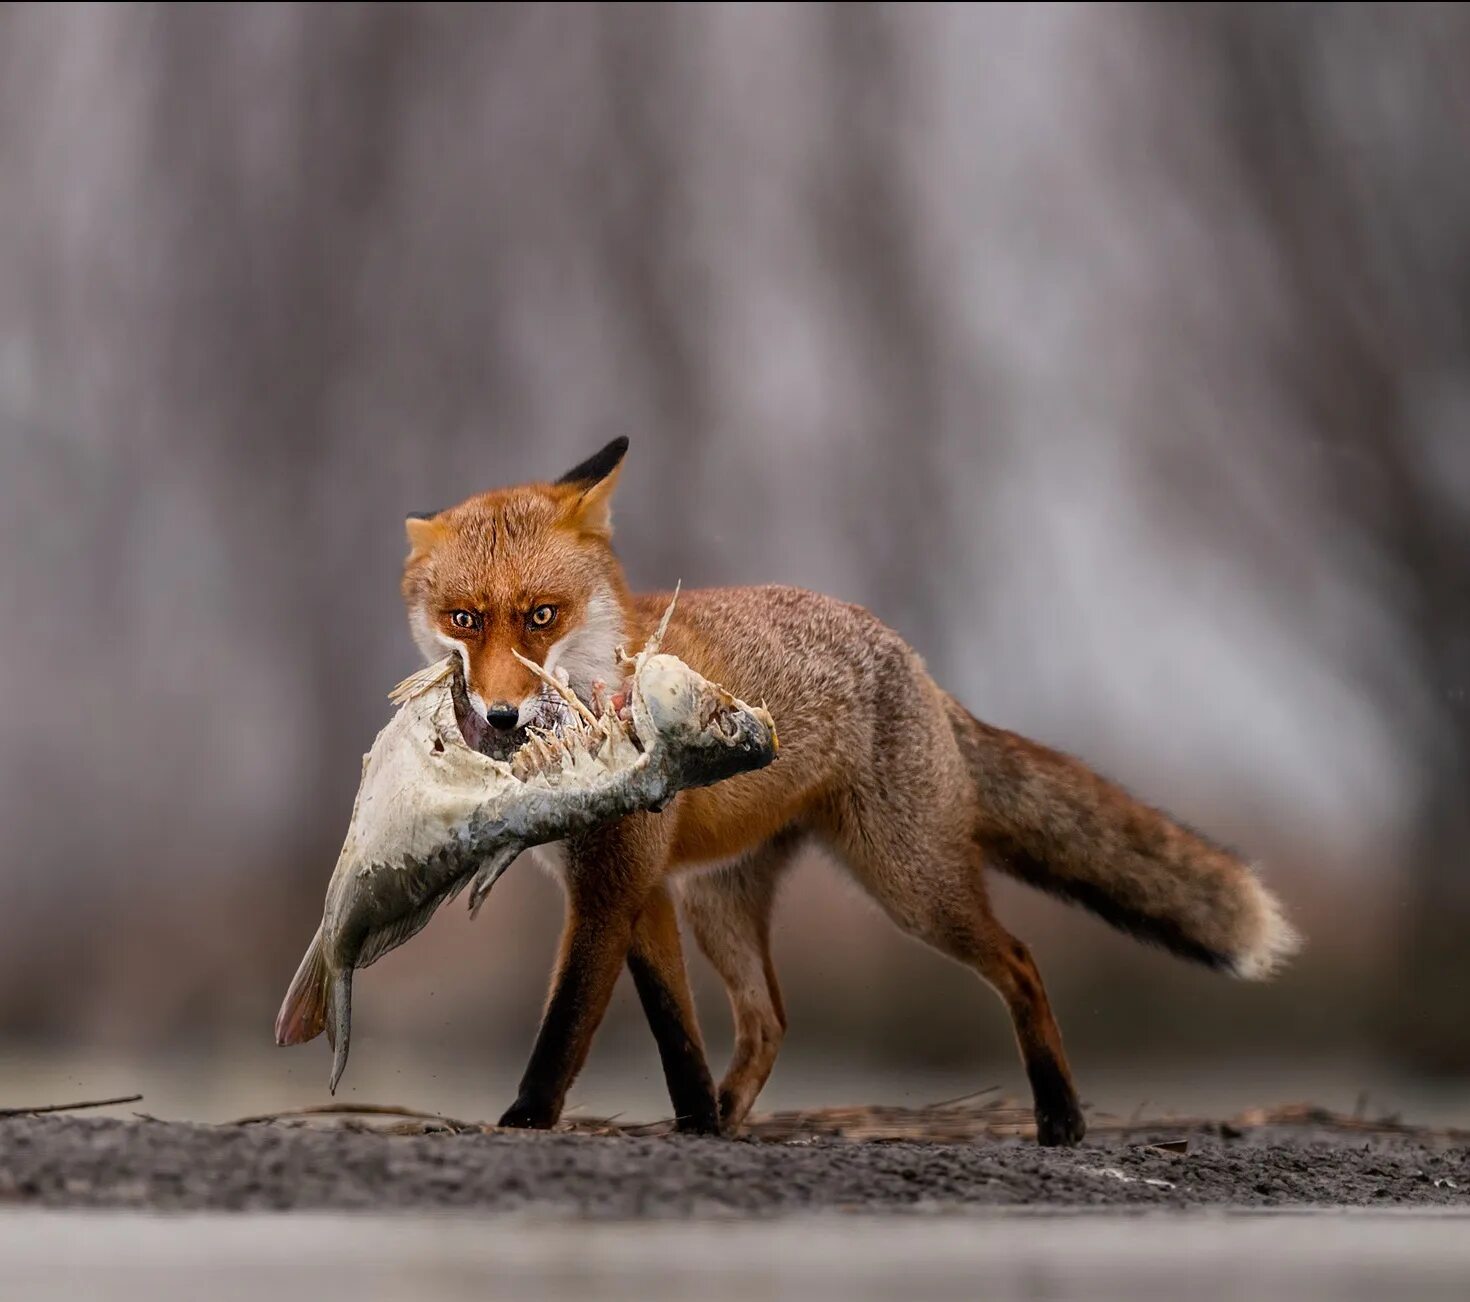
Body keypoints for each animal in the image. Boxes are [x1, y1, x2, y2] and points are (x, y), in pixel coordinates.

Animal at [399, 443, 1299, 1146]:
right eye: (465, 620)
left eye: (542, 616)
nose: (501, 712)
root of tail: (913, 657)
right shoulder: (639, 887)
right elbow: (673, 1030)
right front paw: (694, 1122)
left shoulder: (613, 883)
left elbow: (568, 1023)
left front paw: (525, 1120)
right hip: (719, 903)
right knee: (769, 1020)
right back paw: (727, 1116)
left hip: (910, 886)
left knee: (1020, 962)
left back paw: (1062, 1120)